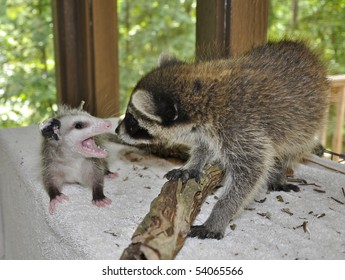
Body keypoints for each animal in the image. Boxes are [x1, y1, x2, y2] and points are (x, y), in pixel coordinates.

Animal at [115, 40, 328, 240]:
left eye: (132, 121)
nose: (117, 130)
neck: (202, 95)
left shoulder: (239, 128)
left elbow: (251, 173)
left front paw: (220, 214)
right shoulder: (209, 130)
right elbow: (204, 147)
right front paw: (194, 164)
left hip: (307, 123)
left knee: (293, 149)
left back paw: (279, 171)